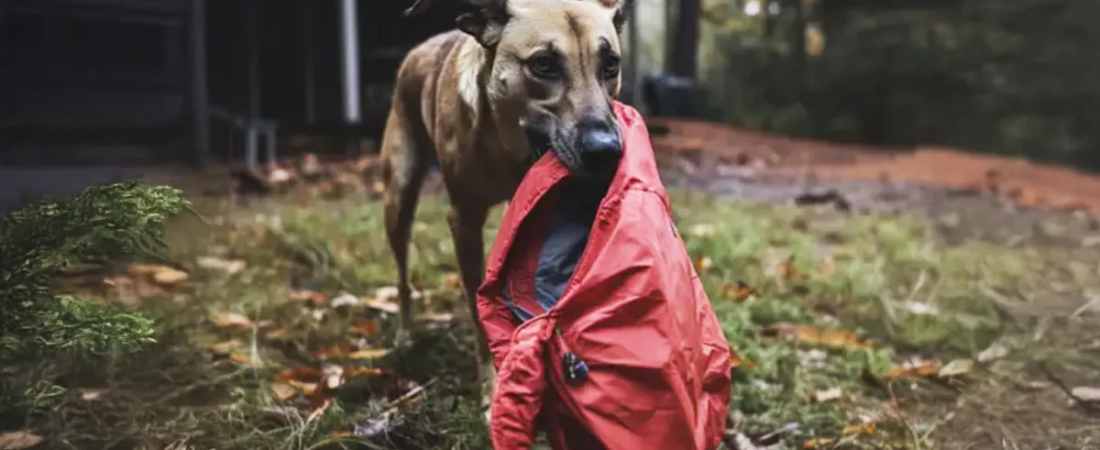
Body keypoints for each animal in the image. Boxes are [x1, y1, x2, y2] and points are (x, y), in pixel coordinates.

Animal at [382, 0, 633, 409]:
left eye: (610, 64)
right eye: (543, 64)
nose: (607, 152)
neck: (510, 150)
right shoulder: (464, 220)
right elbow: (476, 308)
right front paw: (491, 386)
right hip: (398, 197)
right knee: (402, 274)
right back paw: (405, 334)